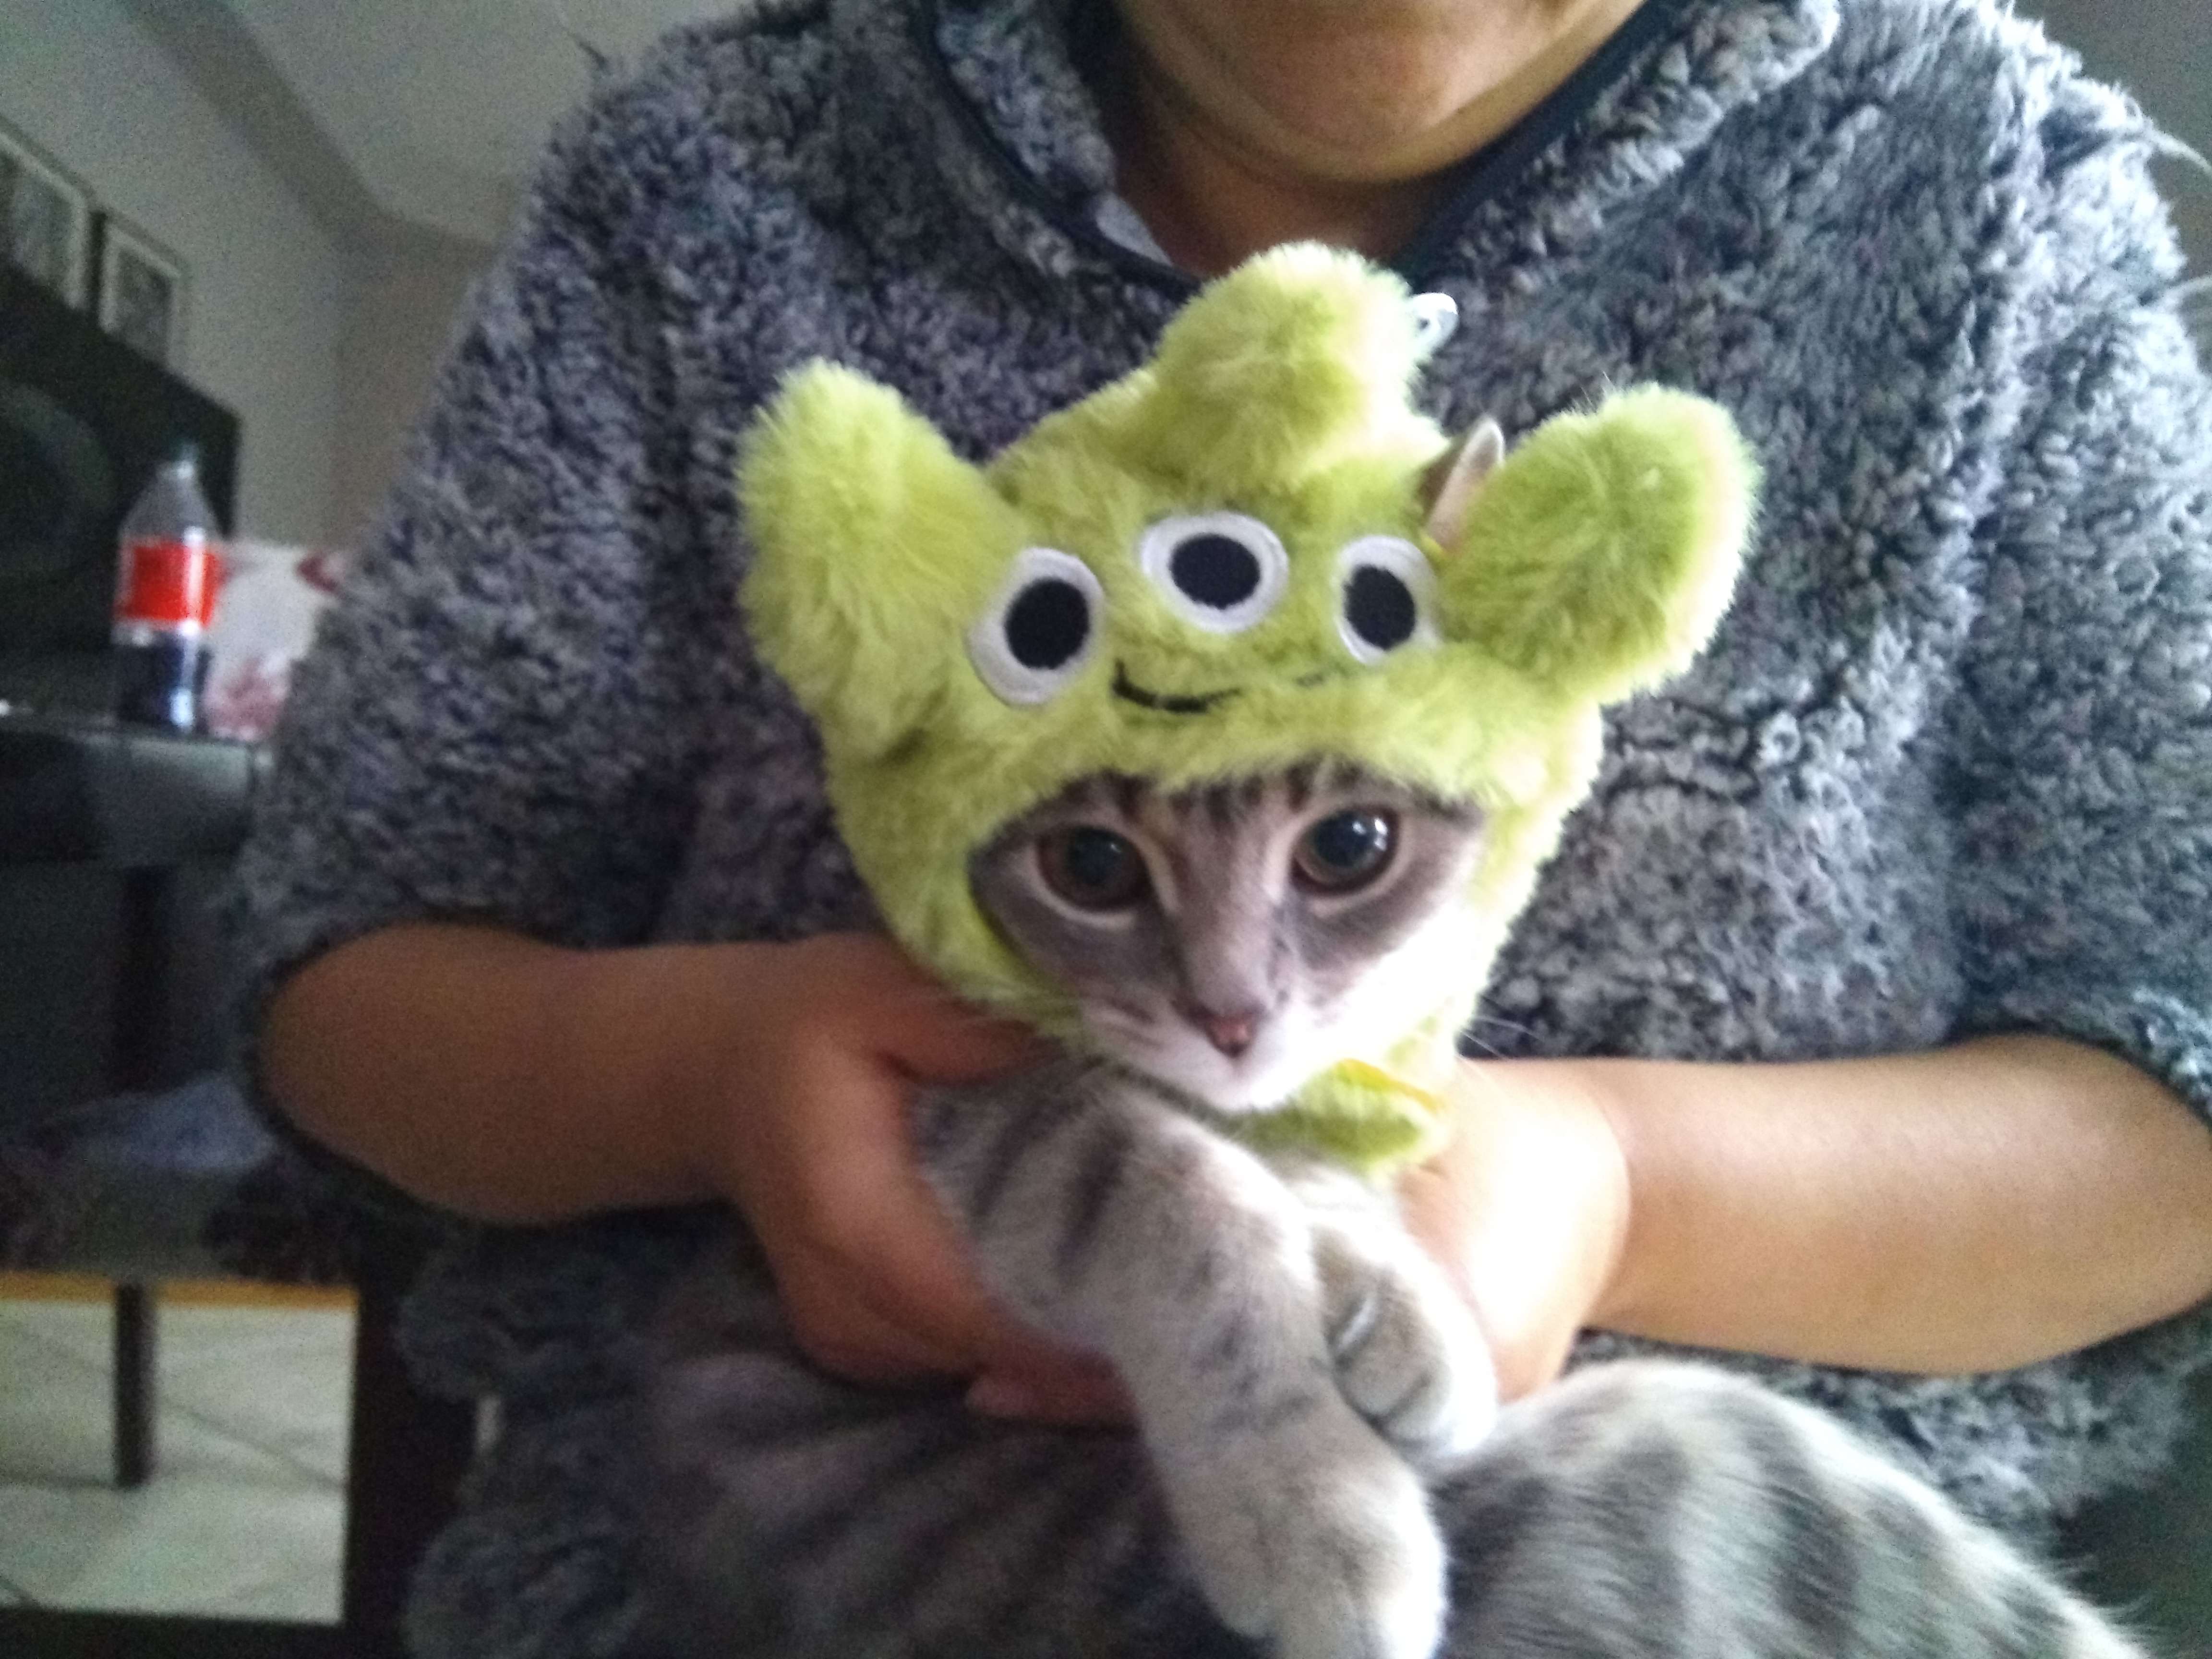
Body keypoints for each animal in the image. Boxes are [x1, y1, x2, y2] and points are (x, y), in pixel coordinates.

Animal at [646, 765, 2159, 1659]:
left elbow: (1307, 1184)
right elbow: (1187, 1198)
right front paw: (1313, 1502)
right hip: (1713, 1459)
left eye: (1346, 851)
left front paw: (1400, 1303)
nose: (1231, 1012)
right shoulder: (985, 1109)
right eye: (1093, 868)